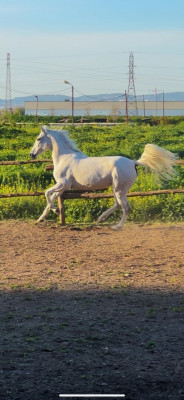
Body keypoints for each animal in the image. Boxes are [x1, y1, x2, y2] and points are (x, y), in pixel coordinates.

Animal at [29, 126, 177, 230]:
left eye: (39, 139)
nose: (32, 154)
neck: (64, 157)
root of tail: (133, 162)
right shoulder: (63, 186)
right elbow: (51, 197)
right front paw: (42, 218)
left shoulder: (63, 184)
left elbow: (47, 193)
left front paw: (55, 210)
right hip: (117, 189)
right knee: (117, 204)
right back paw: (101, 218)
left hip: (119, 189)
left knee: (125, 207)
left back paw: (117, 226)